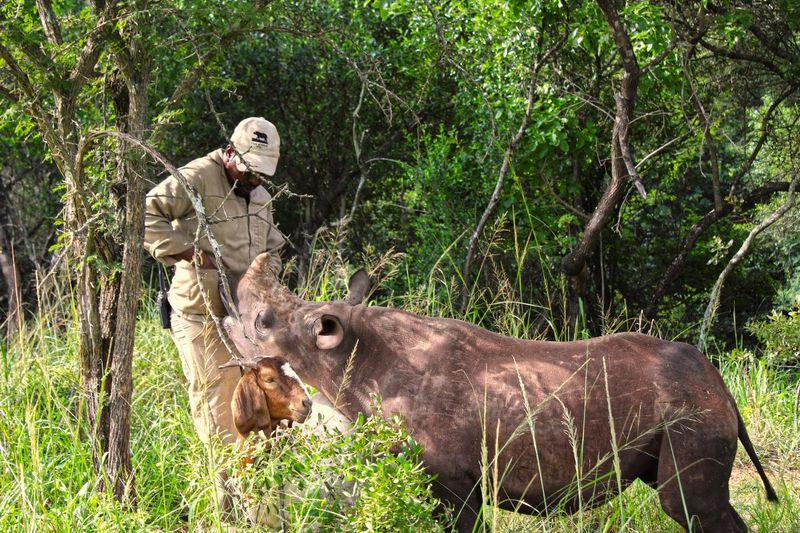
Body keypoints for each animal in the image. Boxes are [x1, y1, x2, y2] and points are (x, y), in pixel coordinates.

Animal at [222, 253, 777, 532]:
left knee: (687, 505)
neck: (351, 354)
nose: (225, 316)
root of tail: (720, 383)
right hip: (687, 402)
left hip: (692, 407)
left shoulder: (451, 481)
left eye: (262, 320)